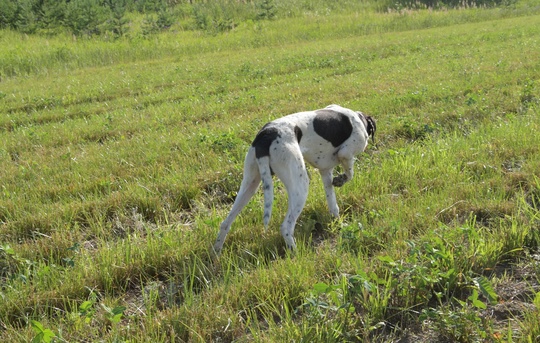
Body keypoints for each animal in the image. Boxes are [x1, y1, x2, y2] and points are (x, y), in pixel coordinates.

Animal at [212, 104, 376, 253]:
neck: (358, 118)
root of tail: (266, 135)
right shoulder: (346, 153)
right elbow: (349, 173)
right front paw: (340, 180)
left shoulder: (325, 171)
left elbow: (333, 205)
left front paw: (338, 223)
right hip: (300, 186)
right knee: (286, 227)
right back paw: (296, 254)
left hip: (250, 184)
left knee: (225, 223)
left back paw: (216, 254)